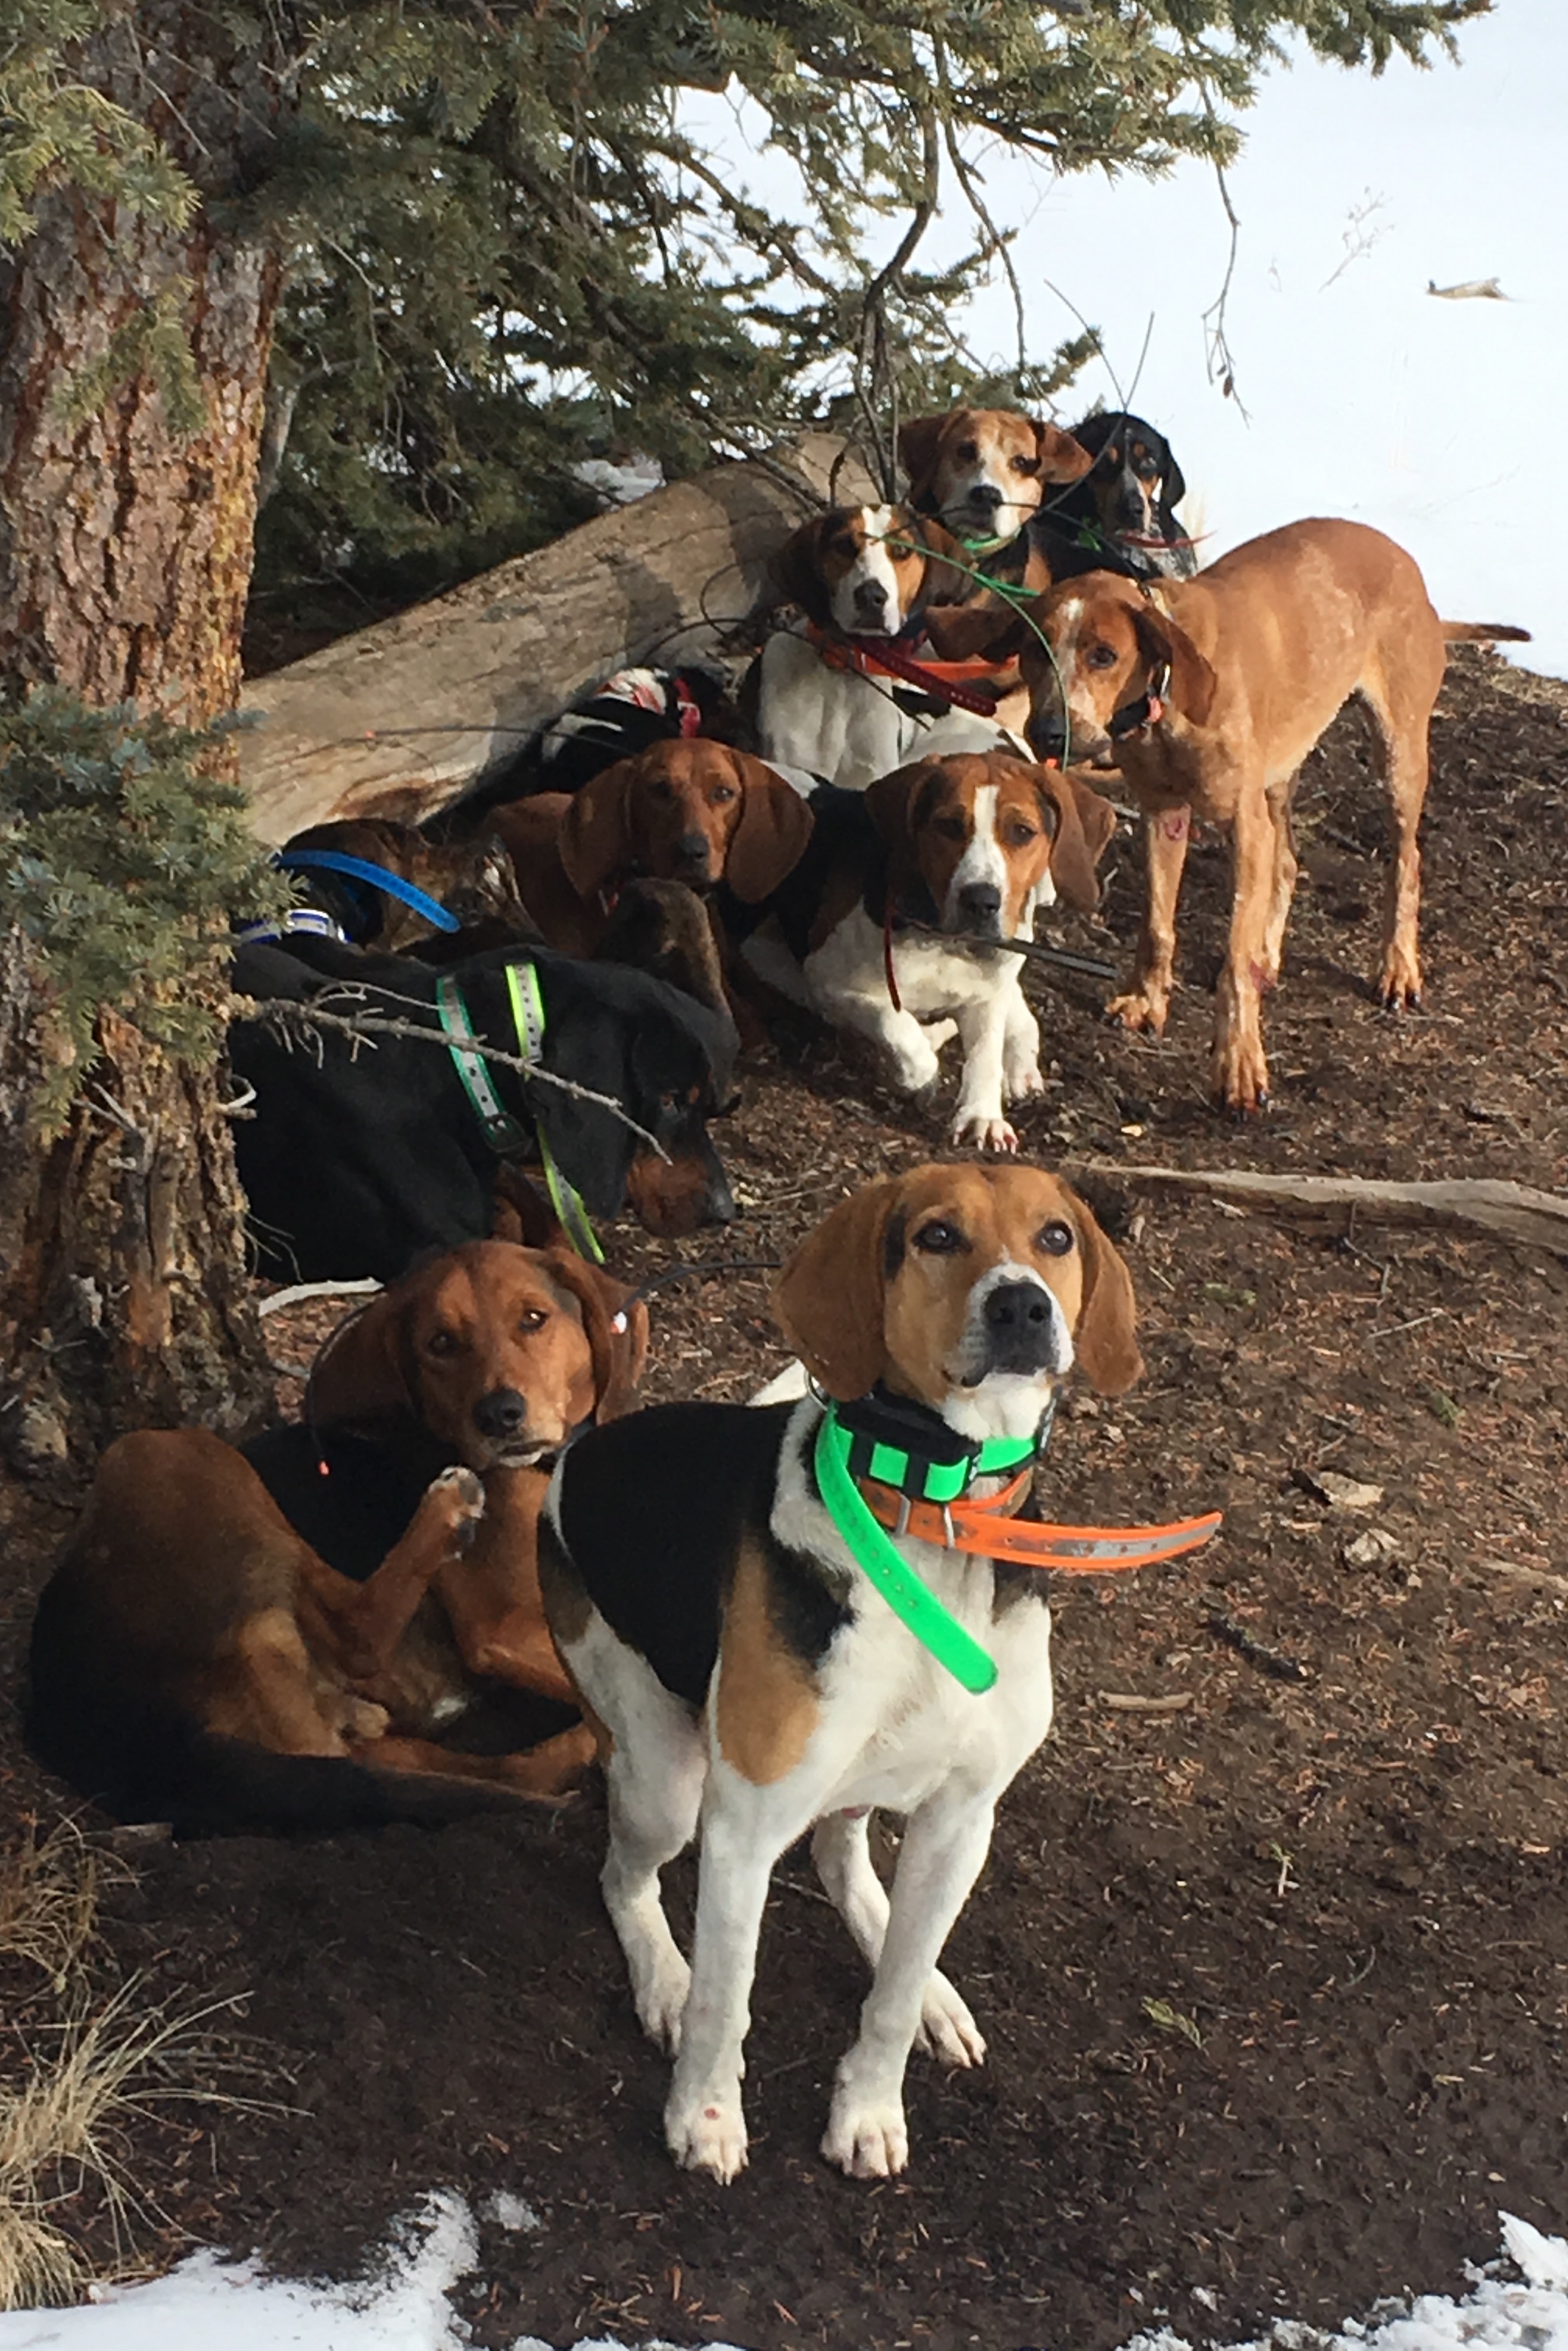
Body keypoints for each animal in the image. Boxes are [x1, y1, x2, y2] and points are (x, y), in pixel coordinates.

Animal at [26, 1242, 648, 1832]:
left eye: (534, 1319)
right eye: (441, 1343)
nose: (499, 1415)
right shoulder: (504, 1627)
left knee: (492, 1765)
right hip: (171, 1452)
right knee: (357, 1637)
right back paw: (445, 1511)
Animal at [538, 1161, 1146, 2181]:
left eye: (1055, 1237)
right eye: (936, 1236)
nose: (1022, 1305)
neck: (933, 1513)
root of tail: (576, 1455)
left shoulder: (962, 1819)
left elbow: (890, 1997)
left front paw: (868, 2106)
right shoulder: (741, 1828)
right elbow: (727, 2002)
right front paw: (705, 2117)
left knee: (845, 1859)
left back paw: (926, 1981)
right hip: (663, 1777)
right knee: (625, 1878)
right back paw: (662, 1977)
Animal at [722, 753, 1116, 1150]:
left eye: (1022, 831)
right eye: (948, 826)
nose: (981, 900)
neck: (943, 943)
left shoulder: (987, 995)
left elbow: (984, 1054)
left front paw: (981, 1116)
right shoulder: (828, 981)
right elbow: (894, 1022)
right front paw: (919, 1076)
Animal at [1020, 518, 1531, 1110]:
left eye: (1103, 655)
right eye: (1035, 650)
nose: (1048, 732)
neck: (1170, 693)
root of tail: (1409, 568)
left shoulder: (1244, 830)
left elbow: (1233, 963)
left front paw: (1239, 1064)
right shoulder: (1163, 815)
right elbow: (1157, 925)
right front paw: (1147, 1001)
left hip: (1397, 758)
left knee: (1406, 861)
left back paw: (1398, 968)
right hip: (1281, 773)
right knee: (1287, 860)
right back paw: (1272, 954)